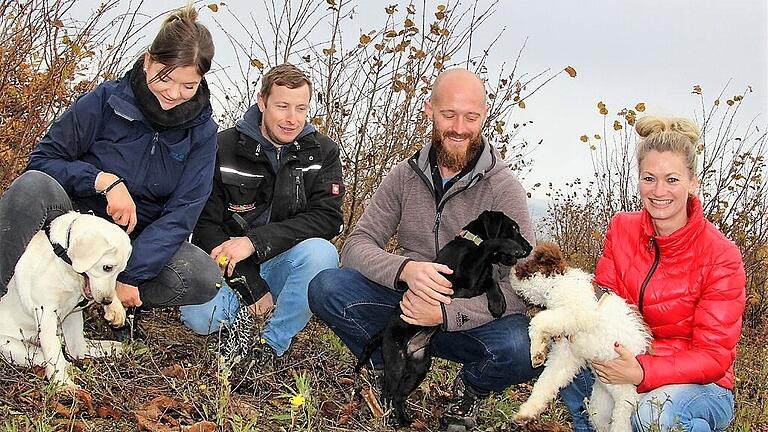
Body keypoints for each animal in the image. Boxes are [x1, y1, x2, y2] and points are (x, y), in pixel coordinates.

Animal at [0, 211, 131, 390]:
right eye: (107, 267)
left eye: (120, 271)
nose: (106, 301)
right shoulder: (46, 313)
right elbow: (54, 351)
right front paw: (63, 384)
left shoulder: (74, 311)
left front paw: (116, 309)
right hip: (17, 347)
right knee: (50, 357)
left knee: (76, 350)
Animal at [356, 209, 532, 426]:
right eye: (514, 228)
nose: (529, 247)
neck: (470, 242)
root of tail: (386, 331)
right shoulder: (467, 278)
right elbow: (488, 244)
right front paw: (509, 245)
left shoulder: (475, 283)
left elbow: (491, 279)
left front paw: (498, 303)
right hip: (396, 361)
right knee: (388, 391)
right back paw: (387, 418)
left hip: (419, 367)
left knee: (399, 395)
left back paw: (404, 420)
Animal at [510, 243, 648, 432]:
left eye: (526, 270)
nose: (511, 271)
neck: (560, 284)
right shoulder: (566, 353)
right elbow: (546, 382)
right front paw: (526, 414)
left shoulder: (579, 313)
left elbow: (539, 320)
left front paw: (536, 352)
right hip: (599, 406)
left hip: (625, 395)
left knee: (623, 416)